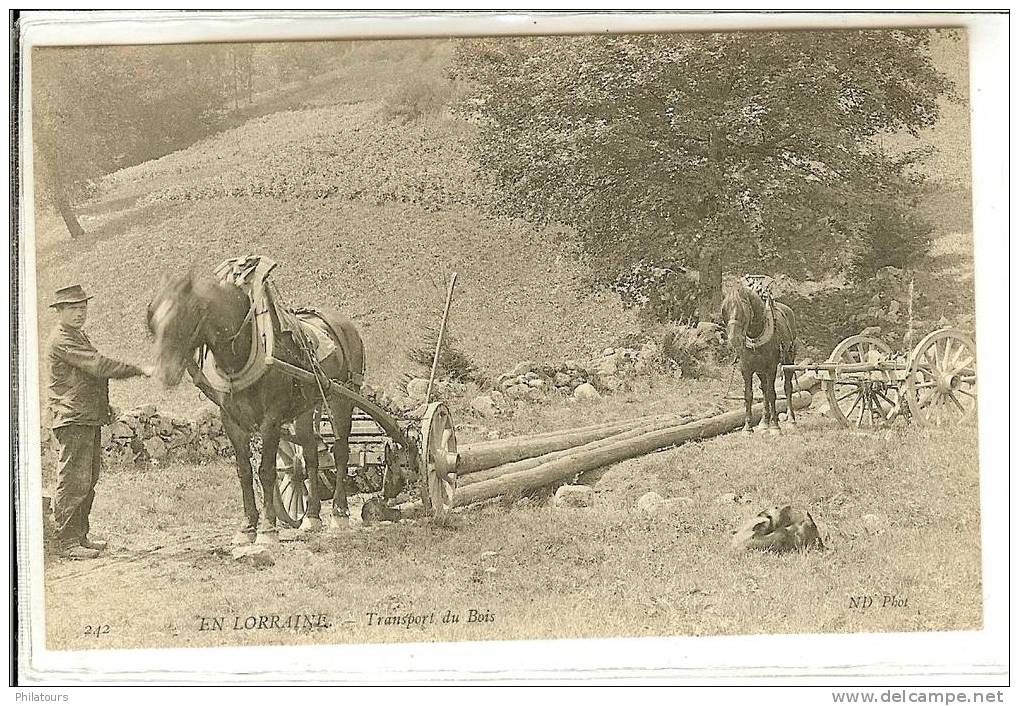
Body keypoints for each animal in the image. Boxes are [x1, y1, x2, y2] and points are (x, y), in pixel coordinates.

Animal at [147, 273, 362, 541]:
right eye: (153, 320)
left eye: (187, 314)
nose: (165, 373)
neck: (244, 350)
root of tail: (346, 325)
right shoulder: (231, 421)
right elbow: (244, 472)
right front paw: (248, 526)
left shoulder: (271, 420)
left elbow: (266, 471)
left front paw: (268, 528)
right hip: (304, 409)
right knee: (310, 453)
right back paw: (311, 516)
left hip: (343, 399)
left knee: (341, 452)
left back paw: (339, 513)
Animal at [721, 279, 798, 431]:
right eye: (724, 310)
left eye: (741, 311)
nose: (734, 340)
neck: (756, 333)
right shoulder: (746, 369)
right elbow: (748, 395)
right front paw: (748, 427)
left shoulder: (771, 368)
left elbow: (772, 394)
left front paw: (775, 427)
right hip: (760, 370)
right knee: (763, 390)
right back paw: (764, 421)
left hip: (788, 361)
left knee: (787, 387)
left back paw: (791, 419)